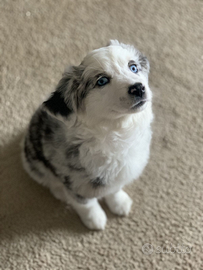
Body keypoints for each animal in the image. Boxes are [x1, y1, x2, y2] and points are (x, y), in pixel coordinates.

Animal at [21, 40, 152, 230]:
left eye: (133, 67)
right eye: (102, 81)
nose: (138, 88)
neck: (116, 132)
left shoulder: (118, 172)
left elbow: (114, 189)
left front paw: (119, 203)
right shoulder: (75, 179)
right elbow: (85, 203)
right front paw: (95, 219)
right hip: (33, 163)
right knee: (48, 180)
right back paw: (60, 192)